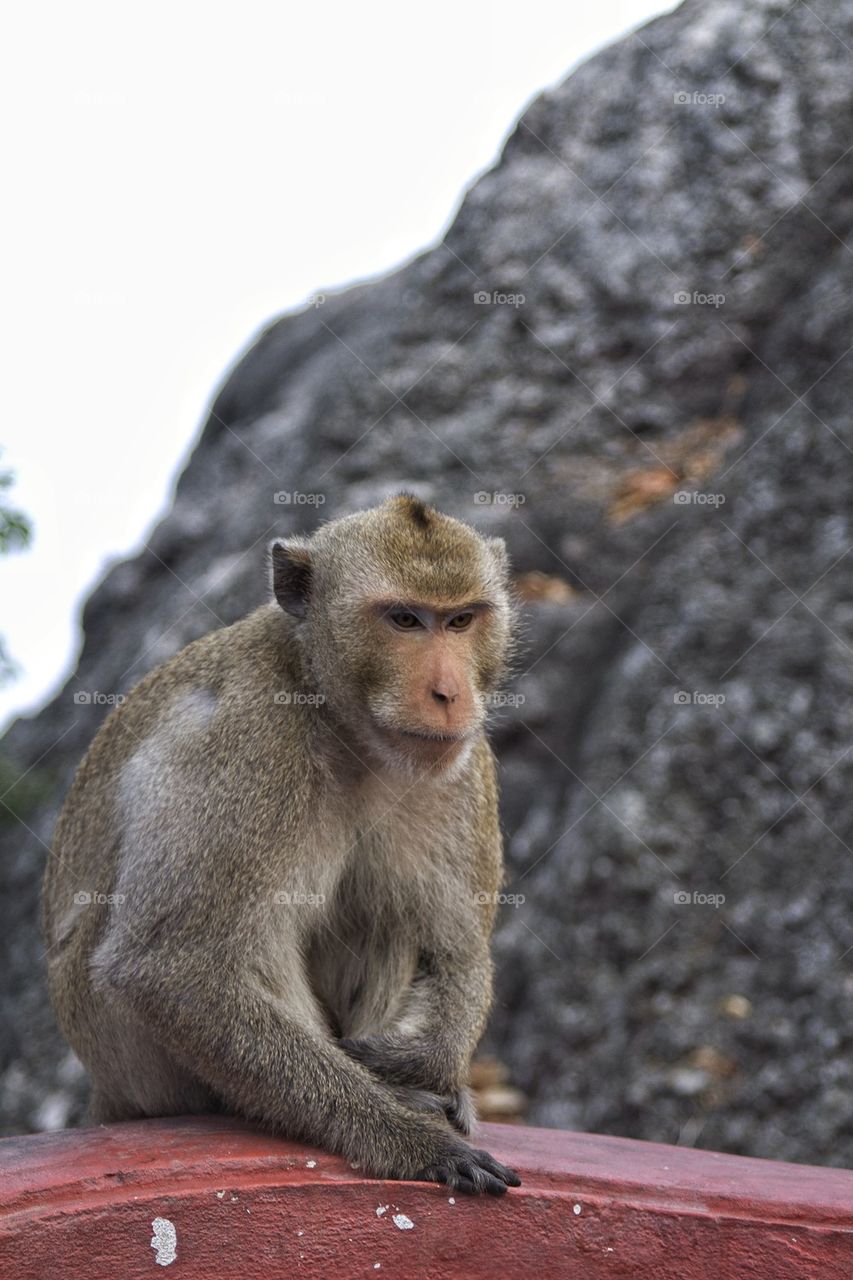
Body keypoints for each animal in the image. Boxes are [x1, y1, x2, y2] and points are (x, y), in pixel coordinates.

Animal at [44, 494, 517, 1192]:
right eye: (405, 620)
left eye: (460, 620)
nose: (449, 693)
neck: (339, 720)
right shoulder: (243, 741)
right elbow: (172, 967)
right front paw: (408, 1137)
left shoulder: (463, 764)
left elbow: (453, 945)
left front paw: (421, 1065)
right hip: (124, 1054)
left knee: (389, 913)